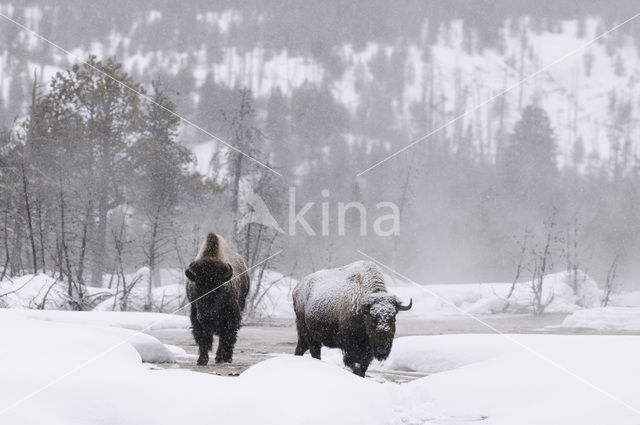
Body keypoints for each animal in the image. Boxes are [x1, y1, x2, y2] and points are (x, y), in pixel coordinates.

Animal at [185, 232, 250, 364]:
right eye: (198, 285)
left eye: (220, 286)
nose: (208, 315)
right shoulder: (195, 316)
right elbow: (202, 338)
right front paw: (202, 360)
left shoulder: (231, 317)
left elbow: (226, 337)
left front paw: (222, 358)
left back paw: (225, 358)